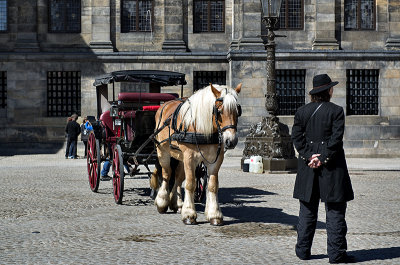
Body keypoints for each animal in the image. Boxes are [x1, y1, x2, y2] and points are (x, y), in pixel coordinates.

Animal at [152, 83, 242, 225]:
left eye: (237, 111)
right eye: (219, 111)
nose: (231, 141)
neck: (202, 129)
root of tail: (164, 104)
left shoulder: (215, 160)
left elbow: (212, 186)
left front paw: (214, 214)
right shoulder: (190, 158)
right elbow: (190, 184)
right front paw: (189, 214)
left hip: (181, 158)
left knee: (178, 178)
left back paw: (177, 203)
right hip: (163, 152)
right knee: (167, 174)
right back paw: (162, 202)